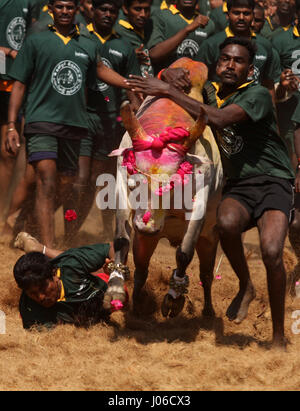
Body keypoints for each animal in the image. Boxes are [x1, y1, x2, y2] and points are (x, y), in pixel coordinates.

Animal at [103, 57, 223, 316]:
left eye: (173, 188)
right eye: (134, 185)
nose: (147, 227)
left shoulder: (201, 199)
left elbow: (185, 253)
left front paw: (174, 298)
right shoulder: (121, 184)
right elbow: (121, 239)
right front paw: (115, 291)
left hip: (209, 237)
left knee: (207, 275)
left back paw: (208, 311)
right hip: (147, 240)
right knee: (142, 270)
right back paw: (137, 305)